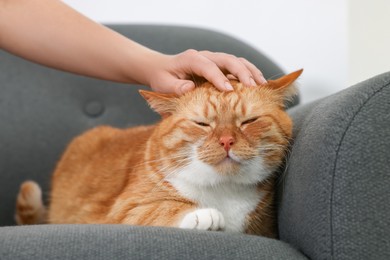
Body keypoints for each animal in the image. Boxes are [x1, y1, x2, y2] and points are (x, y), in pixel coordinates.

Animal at [15, 69, 304, 238]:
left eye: (249, 121)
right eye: (202, 124)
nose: (226, 141)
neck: (223, 190)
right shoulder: (121, 212)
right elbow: (160, 209)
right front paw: (203, 214)